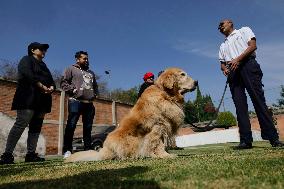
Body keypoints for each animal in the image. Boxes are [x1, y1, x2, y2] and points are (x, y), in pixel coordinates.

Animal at [65, 67, 196, 162]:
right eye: (182, 74)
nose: (196, 82)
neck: (166, 94)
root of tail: (104, 151)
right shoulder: (157, 127)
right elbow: (158, 144)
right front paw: (164, 155)